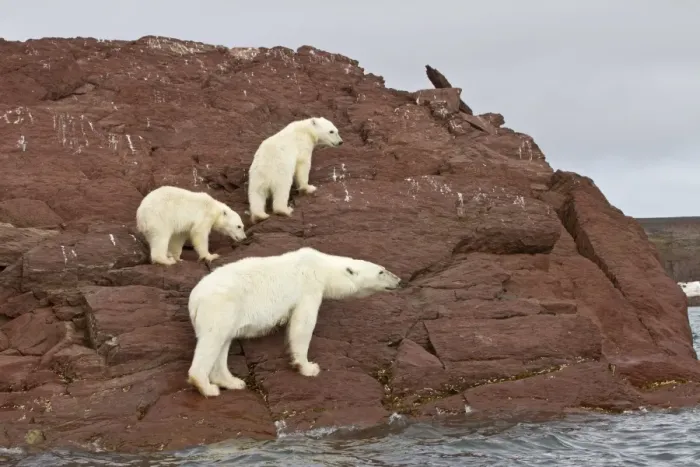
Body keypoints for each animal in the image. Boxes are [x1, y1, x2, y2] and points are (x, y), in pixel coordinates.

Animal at [185, 246, 404, 397]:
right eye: (381, 271)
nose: (399, 280)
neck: (321, 266)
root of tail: (194, 299)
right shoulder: (309, 287)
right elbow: (303, 324)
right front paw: (308, 367)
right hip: (220, 306)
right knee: (212, 341)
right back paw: (207, 387)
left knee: (224, 342)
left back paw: (233, 382)